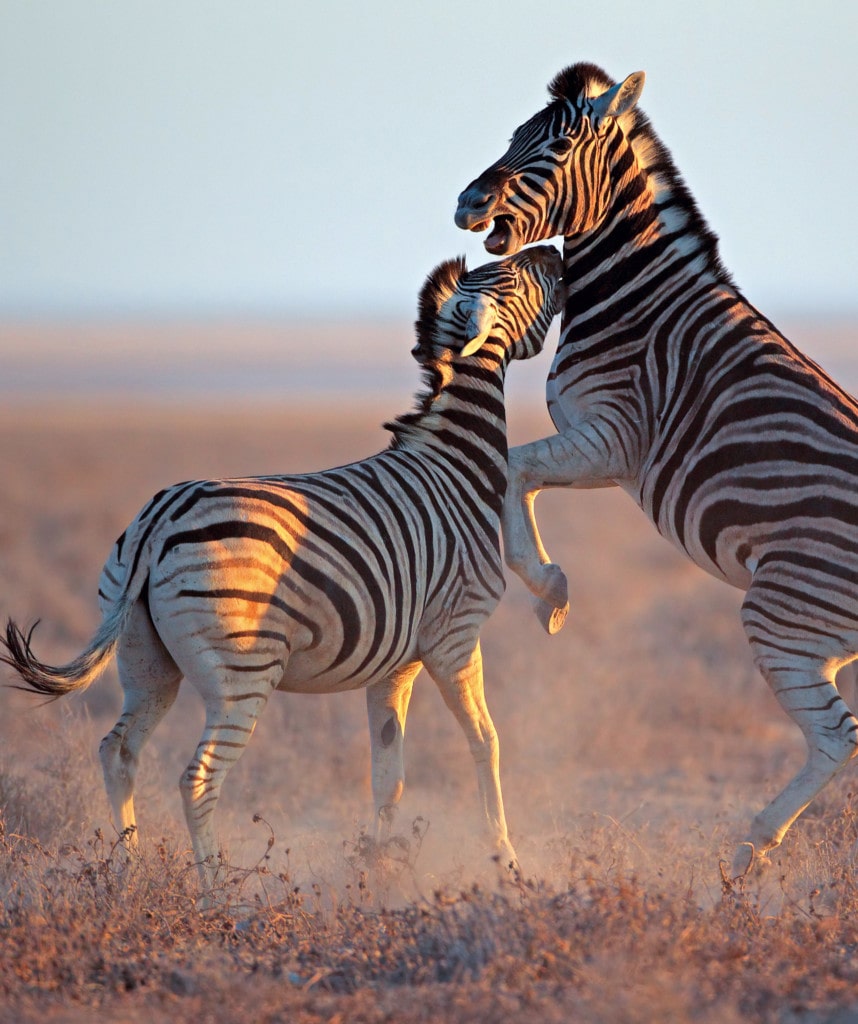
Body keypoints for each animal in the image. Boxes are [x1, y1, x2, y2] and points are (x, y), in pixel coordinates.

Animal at [1, 245, 562, 894]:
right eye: (516, 276)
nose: (554, 253)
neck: (456, 465)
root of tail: (158, 522)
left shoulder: (396, 663)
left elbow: (387, 772)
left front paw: (376, 869)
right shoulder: (456, 636)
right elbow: (485, 743)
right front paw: (507, 863)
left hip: (146, 661)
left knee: (118, 753)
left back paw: (126, 872)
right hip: (244, 673)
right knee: (197, 779)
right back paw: (220, 896)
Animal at [455, 61, 858, 877]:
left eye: (556, 144)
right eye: (514, 134)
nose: (466, 202)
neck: (635, 298)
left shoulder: (614, 436)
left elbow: (512, 468)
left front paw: (549, 590)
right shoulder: (604, 449)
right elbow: (519, 474)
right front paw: (549, 589)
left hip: (787, 613)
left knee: (836, 737)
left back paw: (746, 850)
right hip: (809, 628)